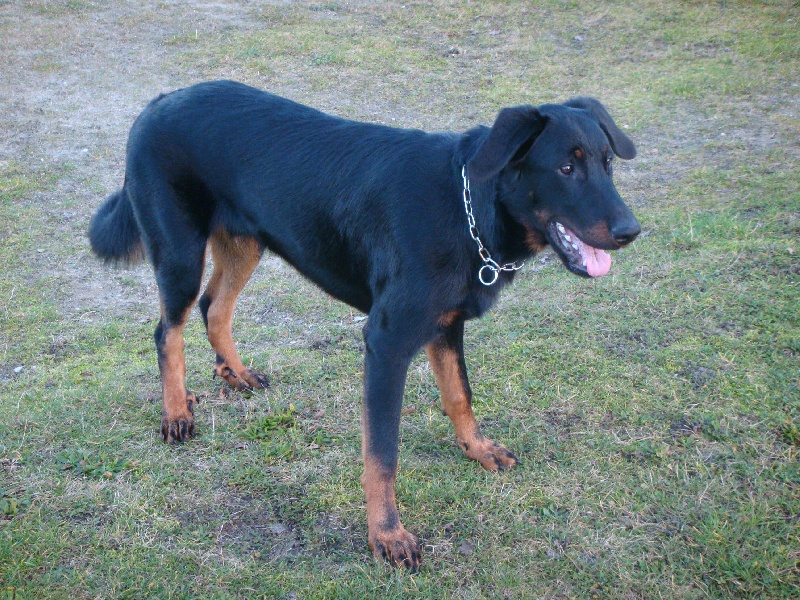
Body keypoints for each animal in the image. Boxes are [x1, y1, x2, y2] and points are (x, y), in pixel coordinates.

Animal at [89, 81, 636, 572]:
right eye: (566, 168)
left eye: (607, 163)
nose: (631, 231)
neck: (466, 208)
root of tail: (159, 102)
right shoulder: (386, 342)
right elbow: (382, 455)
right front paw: (387, 535)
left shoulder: (445, 326)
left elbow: (460, 395)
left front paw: (477, 449)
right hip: (179, 251)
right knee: (169, 329)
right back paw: (176, 412)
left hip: (245, 241)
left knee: (214, 307)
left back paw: (235, 373)